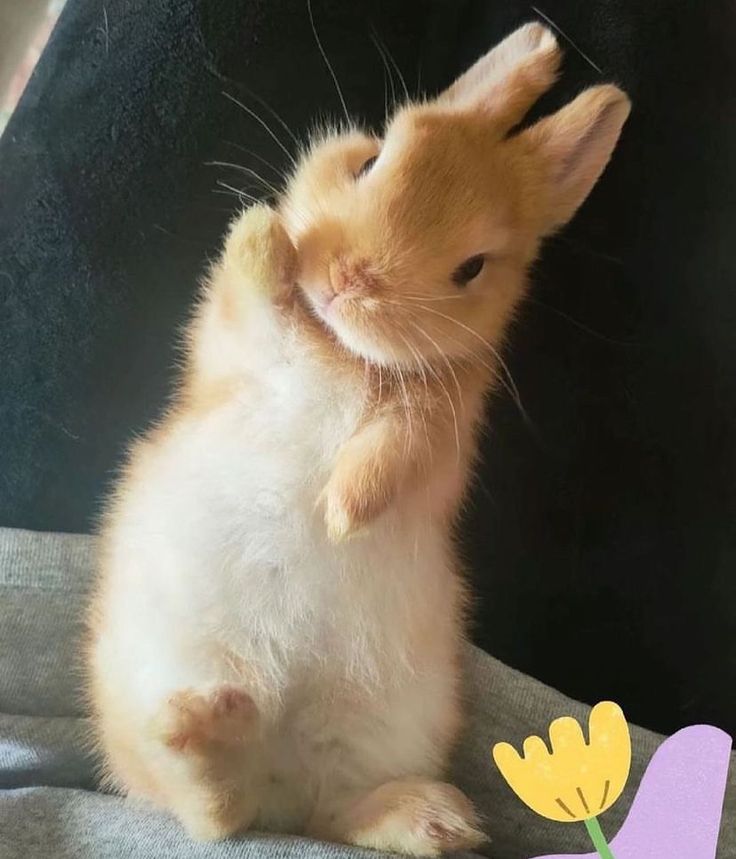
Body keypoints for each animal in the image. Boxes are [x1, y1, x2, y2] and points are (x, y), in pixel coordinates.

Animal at [86, 22, 630, 857]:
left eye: (472, 267)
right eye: (370, 158)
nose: (349, 280)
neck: (342, 346)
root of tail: (275, 784)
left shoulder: (438, 432)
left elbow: (393, 450)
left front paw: (343, 510)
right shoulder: (234, 351)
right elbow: (254, 299)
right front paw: (262, 232)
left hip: (377, 735)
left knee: (298, 811)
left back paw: (433, 818)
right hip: (152, 687)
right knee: (211, 812)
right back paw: (202, 723)